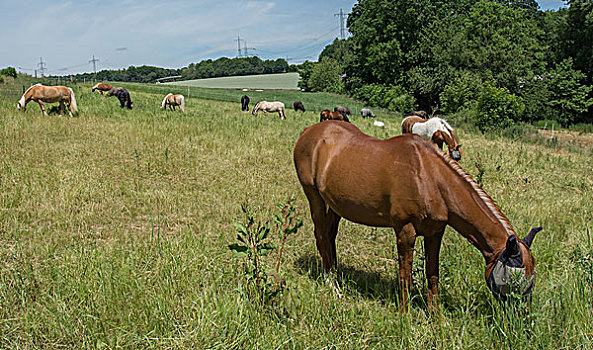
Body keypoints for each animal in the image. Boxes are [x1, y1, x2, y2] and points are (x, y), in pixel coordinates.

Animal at [294, 121, 540, 312]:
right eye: (514, 280)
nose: (522, 317)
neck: (428, 176)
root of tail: (309, 131)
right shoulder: (405, 230)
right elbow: (406, 275)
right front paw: (405, 315)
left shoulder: (435, 233)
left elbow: (432, 274)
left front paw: (435, 316)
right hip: (314, 196)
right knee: (321, 236)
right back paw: (332, 285)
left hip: (335, 205)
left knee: (330, 236)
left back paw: (336, 275)